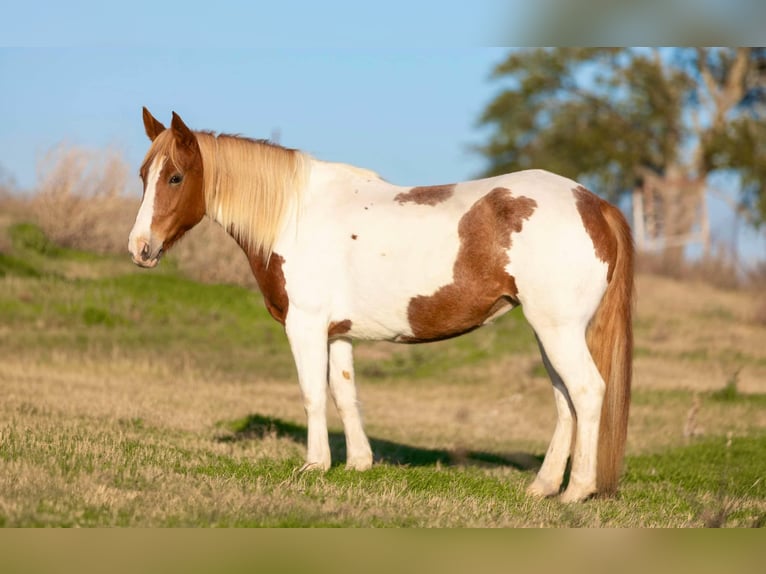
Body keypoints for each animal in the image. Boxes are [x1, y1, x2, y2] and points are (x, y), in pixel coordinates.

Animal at [129, 108, 634, 502]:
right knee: (565, 399)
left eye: (175, 177)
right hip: (548, 331)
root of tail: (594, 203)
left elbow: (312, 394)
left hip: (558, 329)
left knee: (587, 391)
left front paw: (314, 465)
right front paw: (358, 463)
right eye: (143, 176)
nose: (139, 249)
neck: (295, 215)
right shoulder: (338, 333)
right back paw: (542, 487)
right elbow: (344, 394)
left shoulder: (305, 326)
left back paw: (576, 491)